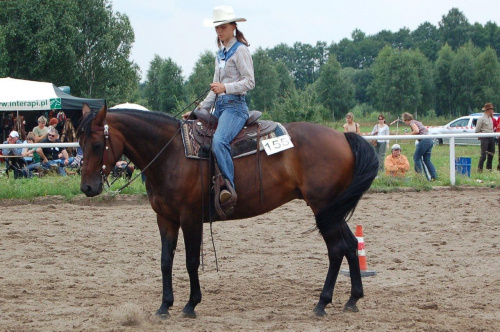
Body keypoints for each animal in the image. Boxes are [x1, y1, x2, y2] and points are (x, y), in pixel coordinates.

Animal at [78, 105, 376, 318]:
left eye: (97, 144)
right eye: (79, 144)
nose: (87, 188)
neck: (171, 153)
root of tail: (343, 137)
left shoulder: (190, 218)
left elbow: (191, 261)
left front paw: (190, 305)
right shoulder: (165, 218)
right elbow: (165, 261)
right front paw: (164, 306)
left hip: (324, 208)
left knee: (336, 250)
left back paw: (322, 303)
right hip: (332, 210)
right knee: (350, 245)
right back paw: (352, 299)